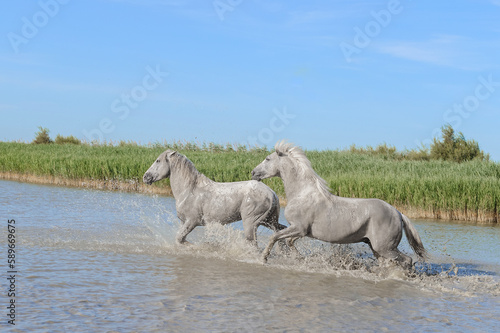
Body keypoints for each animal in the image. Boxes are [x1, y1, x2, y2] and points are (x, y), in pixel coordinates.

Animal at [143, 149, 288, 245]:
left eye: (158, 161)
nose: (145, 177)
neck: (189, 190)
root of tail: (272, 193)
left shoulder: (192, 222)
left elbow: (180, 239)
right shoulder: (184, 222)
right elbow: (180, 239)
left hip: (251, 223)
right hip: (268, 221)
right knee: (281, 233)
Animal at [252, 139, 428, 268]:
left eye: (267, 159)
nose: (253, 173)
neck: (302, 193)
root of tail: (398, 213)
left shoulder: (298, 228)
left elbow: (274, 237)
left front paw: (263, 259)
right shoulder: (301, 231)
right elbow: (289, 242)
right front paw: (299, 258)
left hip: (385, 247)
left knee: (407, 261)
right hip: (377, 247)